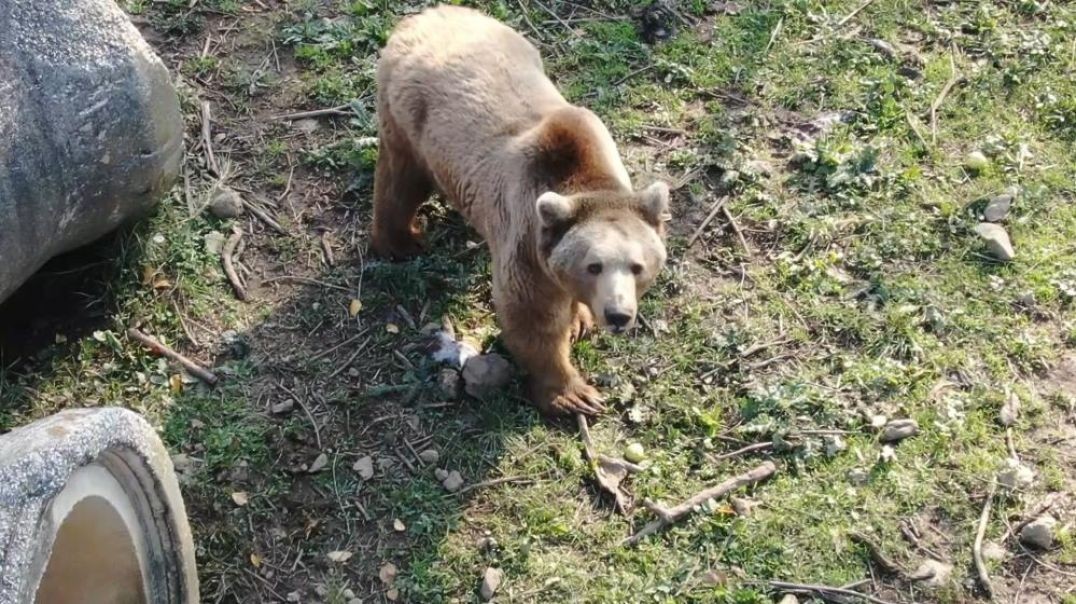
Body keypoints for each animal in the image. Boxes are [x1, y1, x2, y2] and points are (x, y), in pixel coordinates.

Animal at [374, 5, 667, 413]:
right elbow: (530, 317)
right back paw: (400, 241)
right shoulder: (526, 238)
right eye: (594, 265)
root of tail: (427, 14)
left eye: (637, 266)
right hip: (409, 117)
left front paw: (578, 320)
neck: (584, 173)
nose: (618, 315)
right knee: (400, 180)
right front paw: (574, 394)